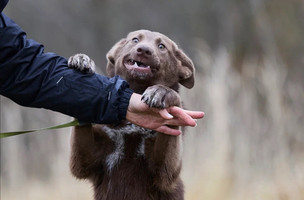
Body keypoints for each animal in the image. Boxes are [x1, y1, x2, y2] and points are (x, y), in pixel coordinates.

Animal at [69, 29, 195, 200]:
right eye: (135, 40)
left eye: (161, 46)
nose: (144, 50)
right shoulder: (85, 160)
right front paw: (83, 60)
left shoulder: (164, 171)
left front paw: (161, 92)